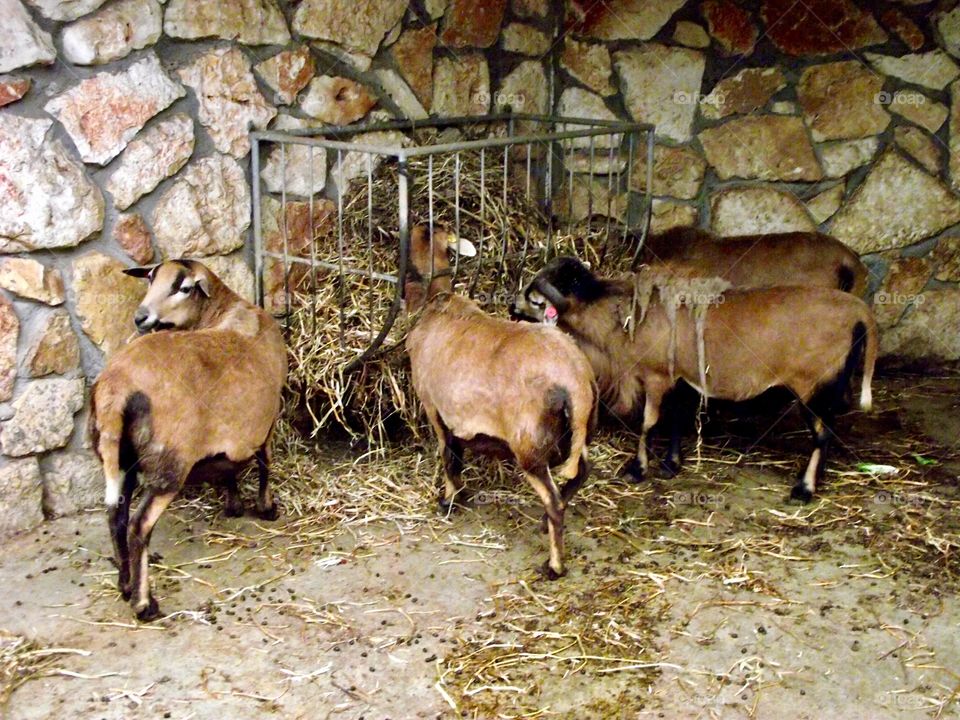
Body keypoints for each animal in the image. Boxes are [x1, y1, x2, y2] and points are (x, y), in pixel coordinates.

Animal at [90, 259, 287, 620]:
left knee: (116, 517)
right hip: (170, 462)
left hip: (121, 457)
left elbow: (227, 467)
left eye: (182, 288)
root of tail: (116, 387)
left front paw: (234, 505)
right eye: (149, 280)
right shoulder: (268, 419)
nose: (141, 317)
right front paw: (266, 508)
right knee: (138, 525)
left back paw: (125, 584)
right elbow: (265, 462)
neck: (227, 309)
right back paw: (144, 604)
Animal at [405, 225, 597, 579]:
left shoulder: (433, 407)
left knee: (554, 500)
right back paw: (544, 523)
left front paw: (449, 500)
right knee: (580, 473)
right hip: (576, 435)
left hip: (529, 447)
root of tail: (576, 382)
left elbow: (448, 455)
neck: (435, 301)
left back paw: (554, 565)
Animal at [511, 257, 877, 503]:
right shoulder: (680, 379)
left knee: (821, 433)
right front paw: (672, 464)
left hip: (812, 385)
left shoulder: (657, 377)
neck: (622, 317)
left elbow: (649, 422)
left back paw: (804, 488)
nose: (512, 309)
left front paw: (637, 469)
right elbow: (676, 418)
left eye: (536, 299)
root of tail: (860, 313)